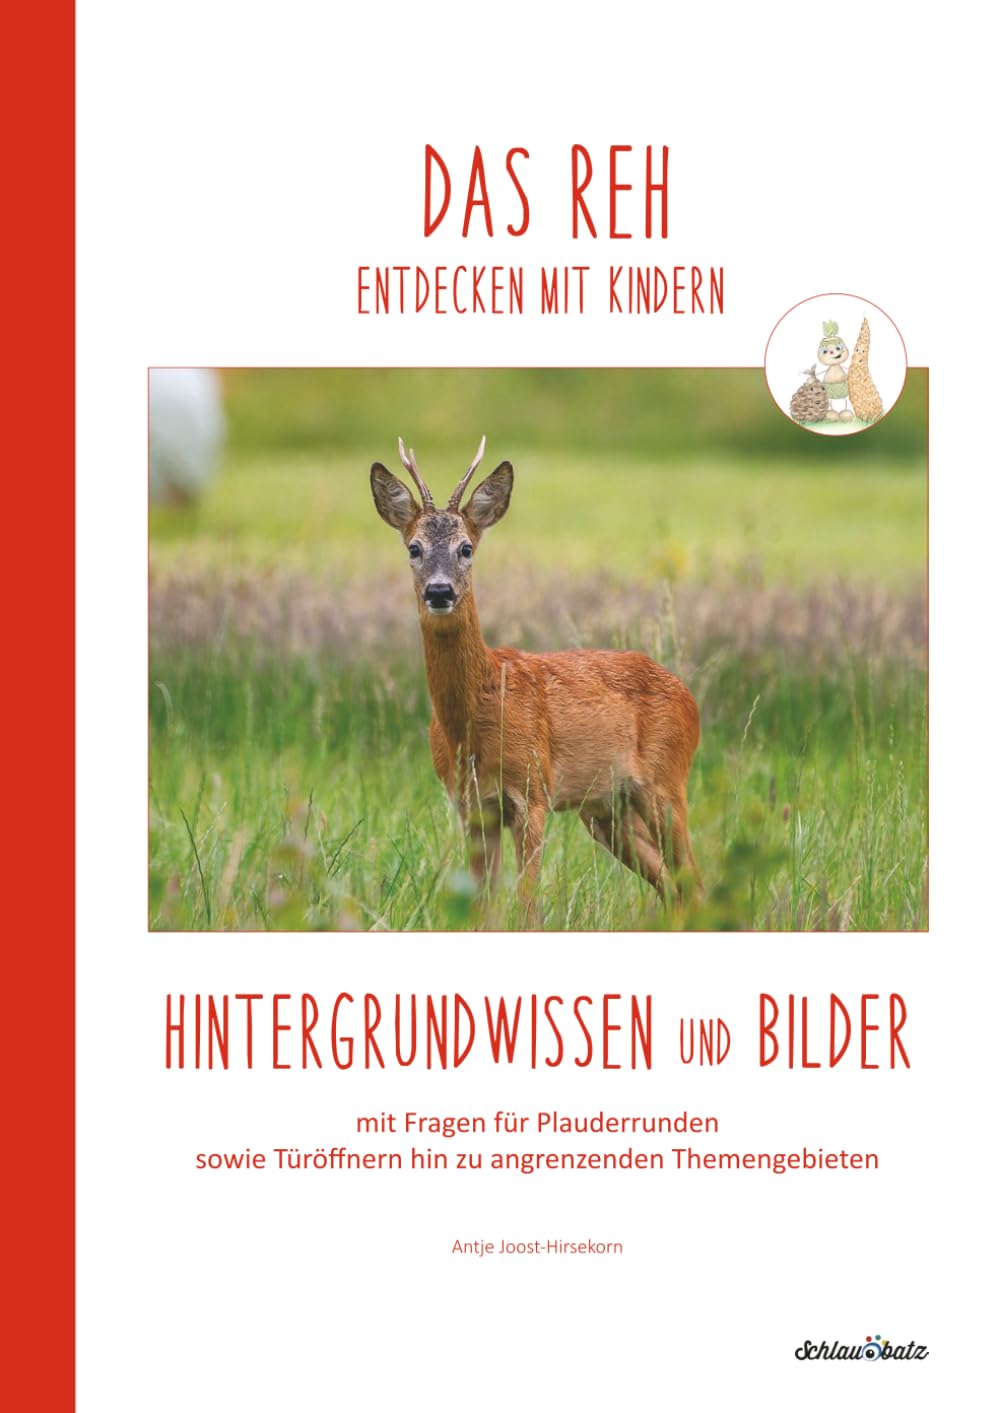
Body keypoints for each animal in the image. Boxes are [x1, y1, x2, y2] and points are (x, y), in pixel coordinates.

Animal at [370, 436, 700, 918]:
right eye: (414, 548)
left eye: (466, 548)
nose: (439, 591)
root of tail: (690, 698)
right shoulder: (471, 806)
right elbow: (481, 909)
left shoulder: (533, 791)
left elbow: (526, 905)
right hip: (606, 810)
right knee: (672, 885)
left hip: (666, 782)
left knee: (693, 879)